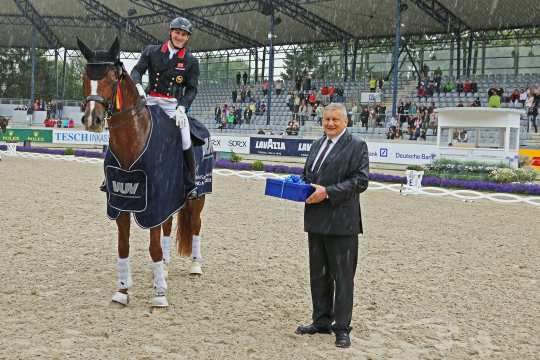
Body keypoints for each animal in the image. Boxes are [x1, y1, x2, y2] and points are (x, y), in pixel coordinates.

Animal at [78, 38, 198, 308]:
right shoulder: (121, 201)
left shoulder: (154, 204)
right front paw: (122, 290)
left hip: (197, 199)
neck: (132, 140)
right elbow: (123, 246)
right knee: (168, 228)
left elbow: (153, 248)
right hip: (171, 199)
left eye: (112, 77)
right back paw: (165, 267)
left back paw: (196, 266)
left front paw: (160, 295)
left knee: (196, 225)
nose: (92, 119)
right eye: (85, 76)